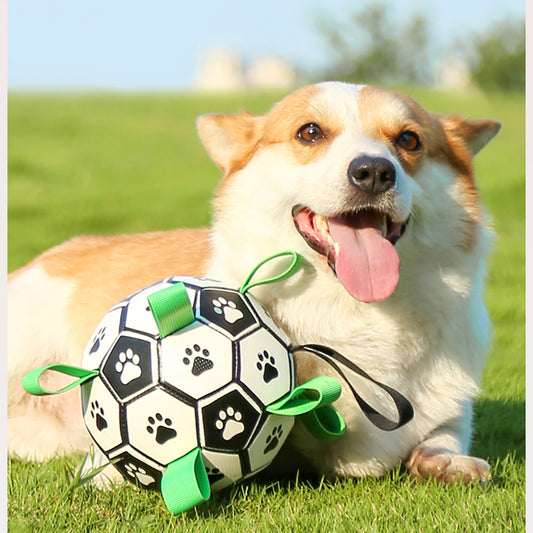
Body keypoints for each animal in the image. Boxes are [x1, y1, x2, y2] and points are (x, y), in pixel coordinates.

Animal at [7, 81, 498, 484]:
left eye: (409, 140)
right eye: (310, 133)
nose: (374, 171)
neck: (355, 310)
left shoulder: (446, 405)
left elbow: (446, 431)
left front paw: (444, 459)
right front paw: (112, 469)